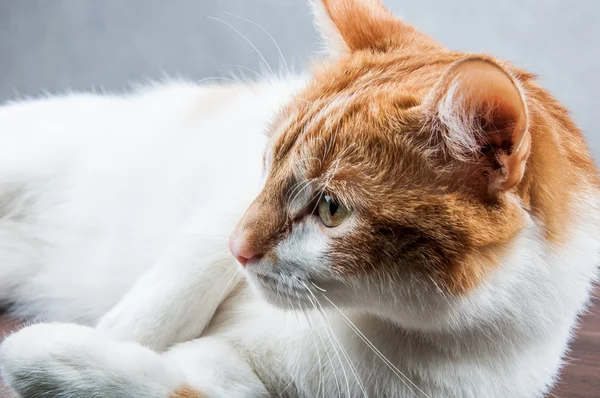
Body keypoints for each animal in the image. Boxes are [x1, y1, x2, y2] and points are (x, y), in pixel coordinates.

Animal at [1, 0, 600, 396]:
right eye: (266, 164)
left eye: (332, 209)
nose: (239, 250)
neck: (365, 320)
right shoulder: (224, 208)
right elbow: (172, 289)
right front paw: (117, 331)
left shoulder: (235, 381)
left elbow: (162, 383)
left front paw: (40, 355)